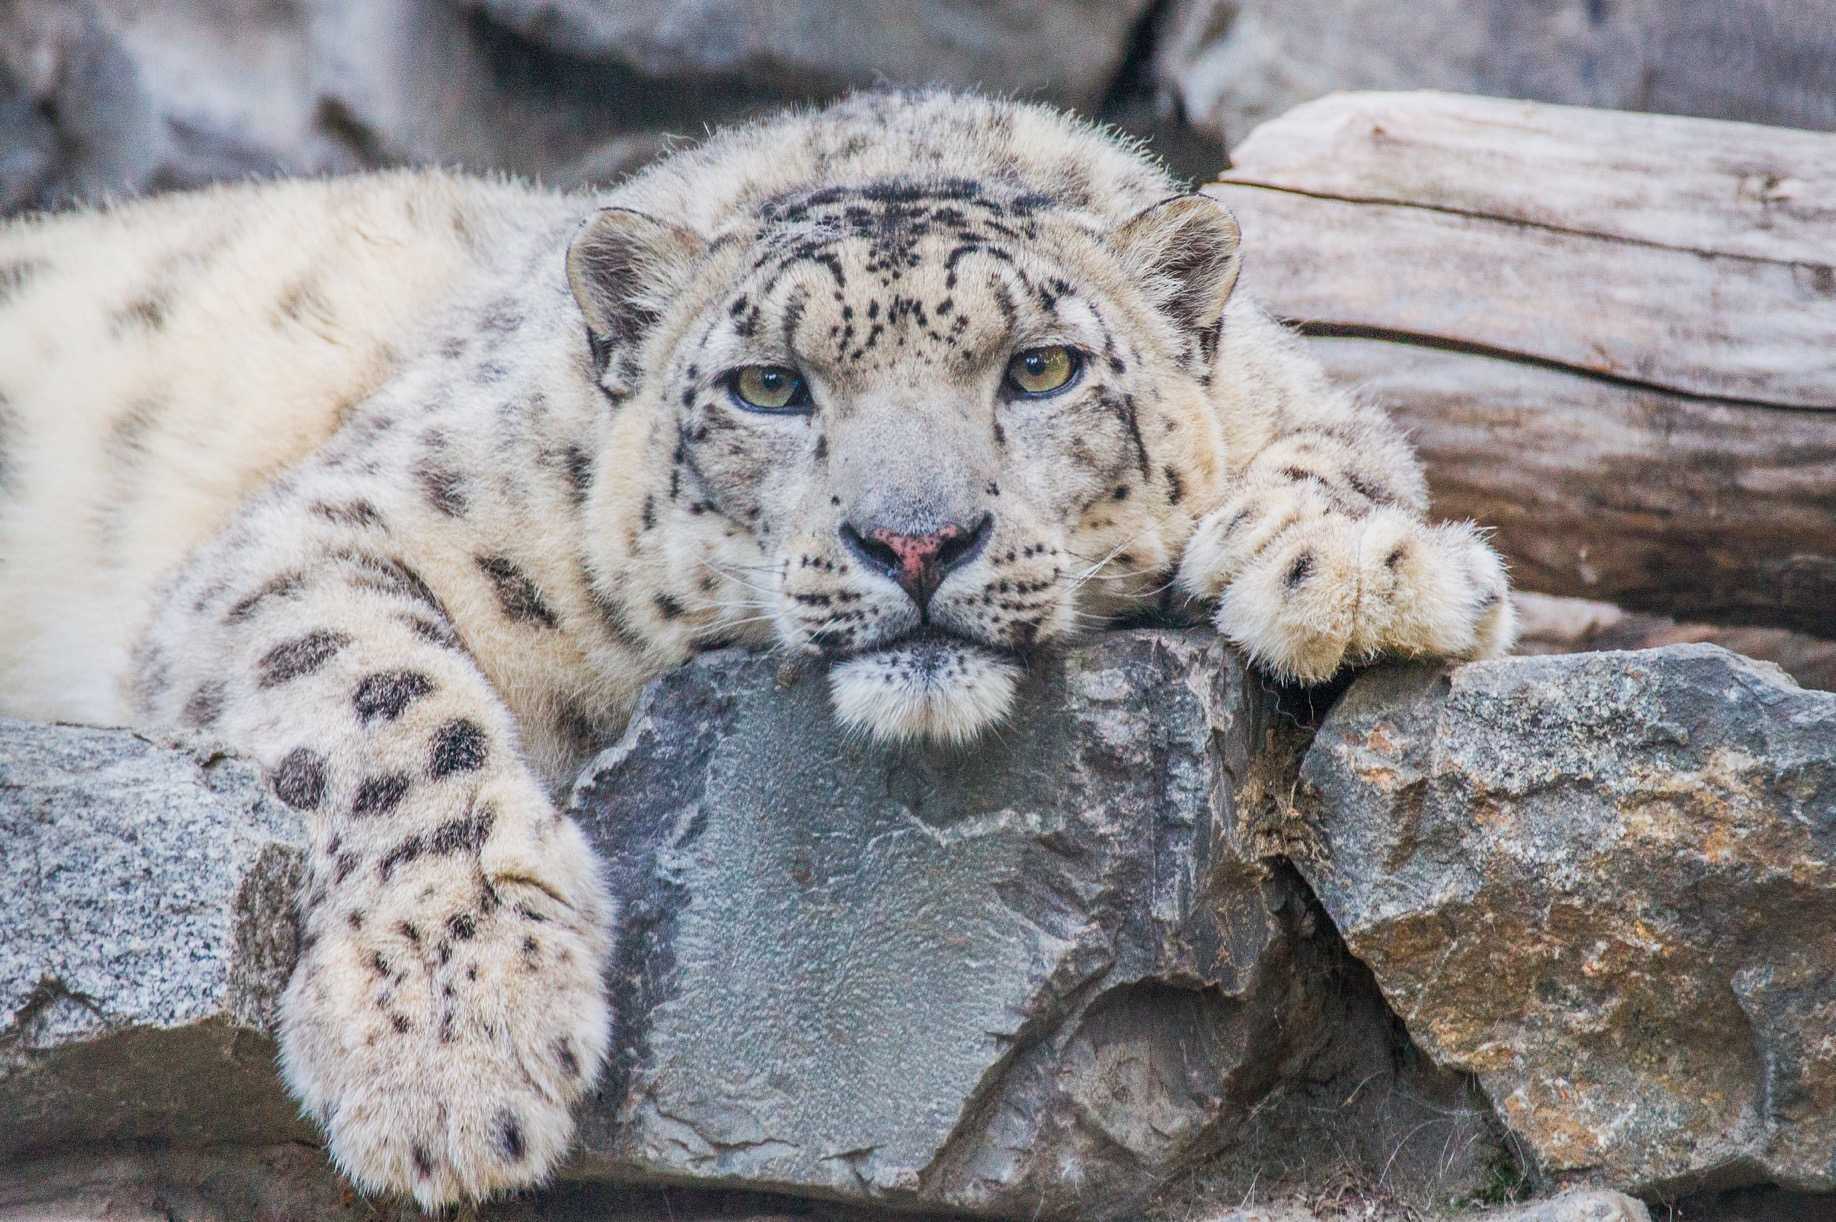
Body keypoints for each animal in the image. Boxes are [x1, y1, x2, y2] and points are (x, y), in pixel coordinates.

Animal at [0, 90, 1505, 1203]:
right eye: (769, 387)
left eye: (1042, 369)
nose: (918, 540)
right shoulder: (322, 527)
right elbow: (386, 700)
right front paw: (452, 1042)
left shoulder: (1289, 389)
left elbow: (1337, 437)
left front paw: (1366, 569)